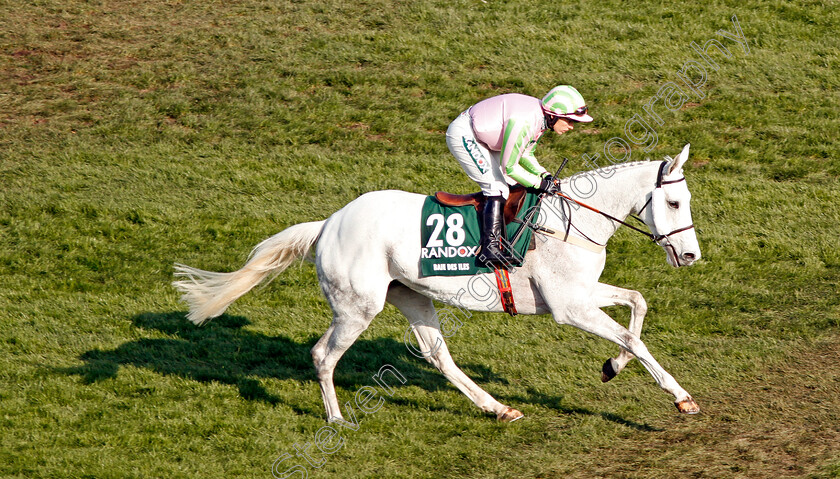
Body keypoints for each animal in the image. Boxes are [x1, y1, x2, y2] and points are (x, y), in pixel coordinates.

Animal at [176, 143, 704, 424]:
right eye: (674, 202)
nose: (691, 255)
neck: (571, 221)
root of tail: (328, 223)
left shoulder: (579, 295)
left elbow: (638, 305)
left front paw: (611, 368)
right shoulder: (568, 307)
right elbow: (632, 338)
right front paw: (681, 396)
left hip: (411, 296)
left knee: (438, 355)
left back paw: (498, 408)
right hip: (357, 307)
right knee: (323, 355)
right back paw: (336, 417)